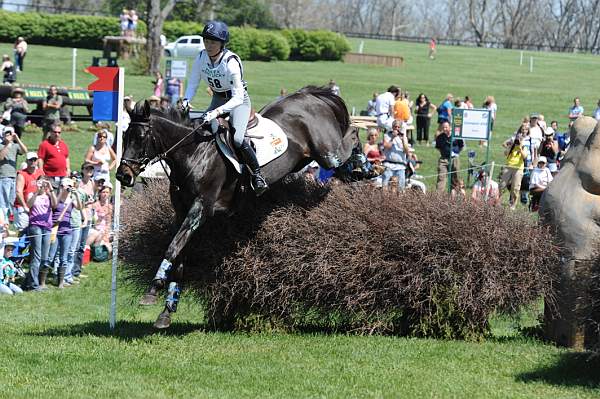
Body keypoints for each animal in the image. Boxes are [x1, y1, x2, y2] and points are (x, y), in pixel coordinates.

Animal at [118, 86, 360, 330]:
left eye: (141, 138)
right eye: (124, 136)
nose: (122, 175)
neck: (194, 153)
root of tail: (309, 95)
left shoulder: (200, 209)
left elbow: (172, 248)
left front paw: (152, 289)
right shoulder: (182, 214)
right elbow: (179, 255)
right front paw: (167, 310)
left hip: (327, 154)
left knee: (353, 134)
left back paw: (363, 166)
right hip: (305, 160)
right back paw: (359, 171)